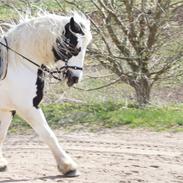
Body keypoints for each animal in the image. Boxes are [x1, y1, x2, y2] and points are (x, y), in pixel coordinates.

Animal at [0, 11, 92, 177]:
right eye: (74, 47)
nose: (75, 78)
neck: (16, 65)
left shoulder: (8, 108)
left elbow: (1, 134)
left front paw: (0, 163)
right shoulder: (28, 107)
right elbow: (48, 134)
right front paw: (68, 166)